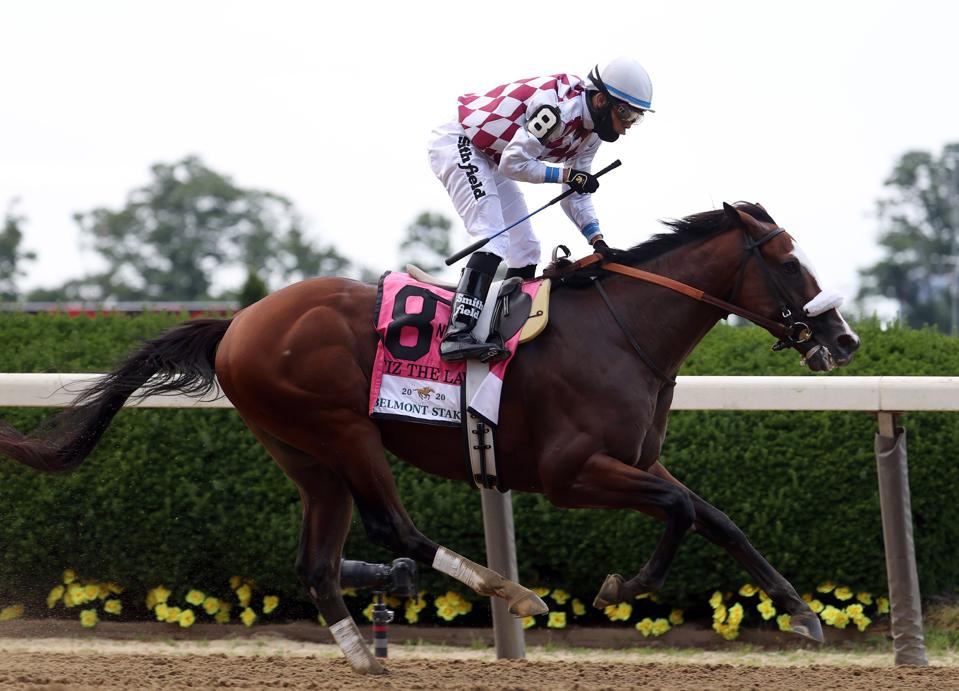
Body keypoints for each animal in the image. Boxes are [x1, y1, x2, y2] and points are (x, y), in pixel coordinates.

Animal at [0, 203, 860, 672]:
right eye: (788, 259)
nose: (843, 339)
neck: (621, 330)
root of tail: (238, 321)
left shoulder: (639, 460)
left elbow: (716, 517)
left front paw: (801, 612)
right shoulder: (573, 472)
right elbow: (680, 515)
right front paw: (622, 585)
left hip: (302, 451)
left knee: (315, 559)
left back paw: (360, 652)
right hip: (342, 428)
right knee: (394, 527)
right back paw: (506, 589)